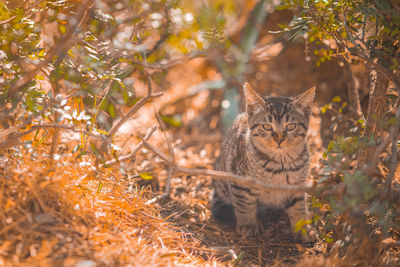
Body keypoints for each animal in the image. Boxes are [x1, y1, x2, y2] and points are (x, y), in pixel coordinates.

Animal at [212, 82, 316, 240]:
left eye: (291, 126)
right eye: (267, 126)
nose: (279, 139)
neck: (280, 165)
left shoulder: (297, 185)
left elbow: (298, 207)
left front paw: (302, 229)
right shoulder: (240, 182)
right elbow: (244, 205)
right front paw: (248, 225)